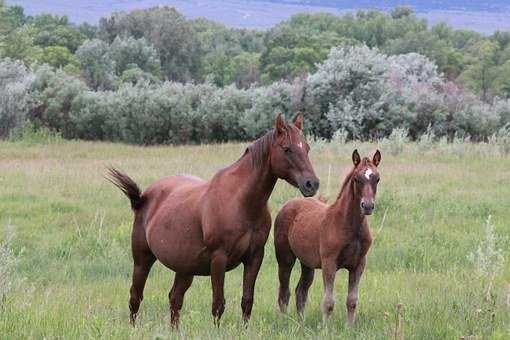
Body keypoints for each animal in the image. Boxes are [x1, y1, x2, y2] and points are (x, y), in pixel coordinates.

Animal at [108, 113, 318, 326]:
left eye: (307, 148)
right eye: (287, 149)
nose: (312, 184)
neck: (240, 201)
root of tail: (144, 197)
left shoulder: (254, 257)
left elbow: (247, 301)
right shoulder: (219, 258)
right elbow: (218, 304)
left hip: (184, 268)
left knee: (175, 299)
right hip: (142, 259)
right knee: (136, 296)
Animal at [274, 150, 378, 326]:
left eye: (377, 178)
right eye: (356, 179)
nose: (368, 206)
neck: (349, 224)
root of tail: (287, 205)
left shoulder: (359, 265)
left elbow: (352, 300)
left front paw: (349, 327)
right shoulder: (329, 263)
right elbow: (328, 302)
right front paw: (325, 328)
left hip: (307, 263)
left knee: (301, 291)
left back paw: (301, 324)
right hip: (285, 259)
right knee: (284, 292)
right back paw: (284, 322)